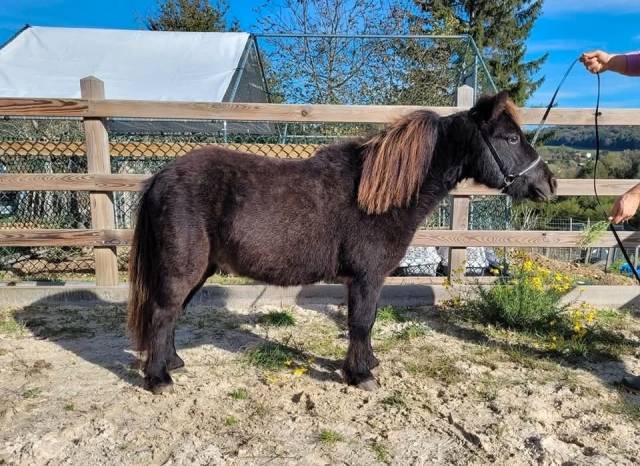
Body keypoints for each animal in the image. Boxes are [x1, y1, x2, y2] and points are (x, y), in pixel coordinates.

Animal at [127, 91, 556, 394]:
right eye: (511, 137)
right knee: (163, 312)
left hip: (199, 271)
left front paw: (366, 364)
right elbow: (361, 322)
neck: (377, 194)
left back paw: (172, 363)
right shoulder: (367, 277)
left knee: (171, 314)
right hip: (182, 269)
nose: (549, 184)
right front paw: (361, 374)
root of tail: (161, 177)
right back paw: (159, 379)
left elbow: (364, 323)